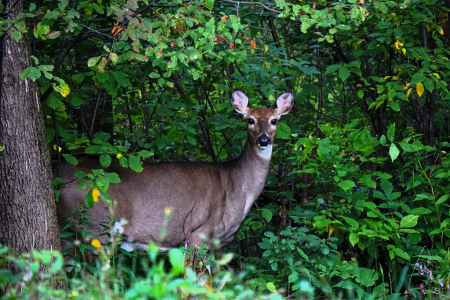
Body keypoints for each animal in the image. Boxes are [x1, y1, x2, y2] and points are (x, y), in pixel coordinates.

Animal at [56, 89, 294, 251]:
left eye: (274, 120)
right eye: (250, 120)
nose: (263, 140)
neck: (239, 186)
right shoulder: (199, 233)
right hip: (97, 227)